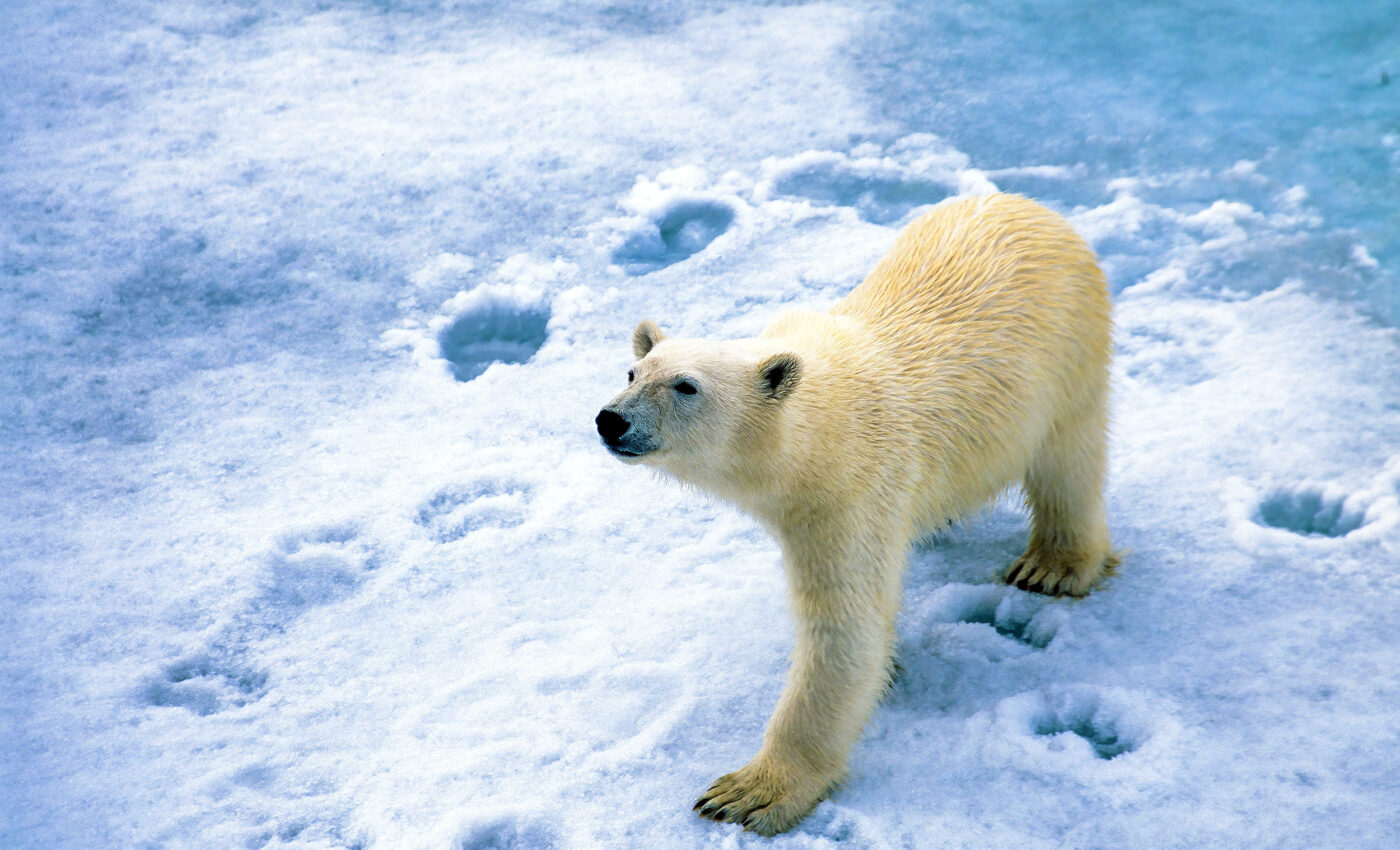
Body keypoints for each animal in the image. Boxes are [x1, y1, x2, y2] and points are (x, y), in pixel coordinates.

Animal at [595, 192, 1117, 836]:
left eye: (686, 386)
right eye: (633, 372)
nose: (611, 420)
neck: (813, 429)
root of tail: (1027, 204)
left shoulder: (850, 492)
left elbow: (844, 629)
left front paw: (748, 793)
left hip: (1070, 352)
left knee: (1069, 458)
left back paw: (1053, 565)